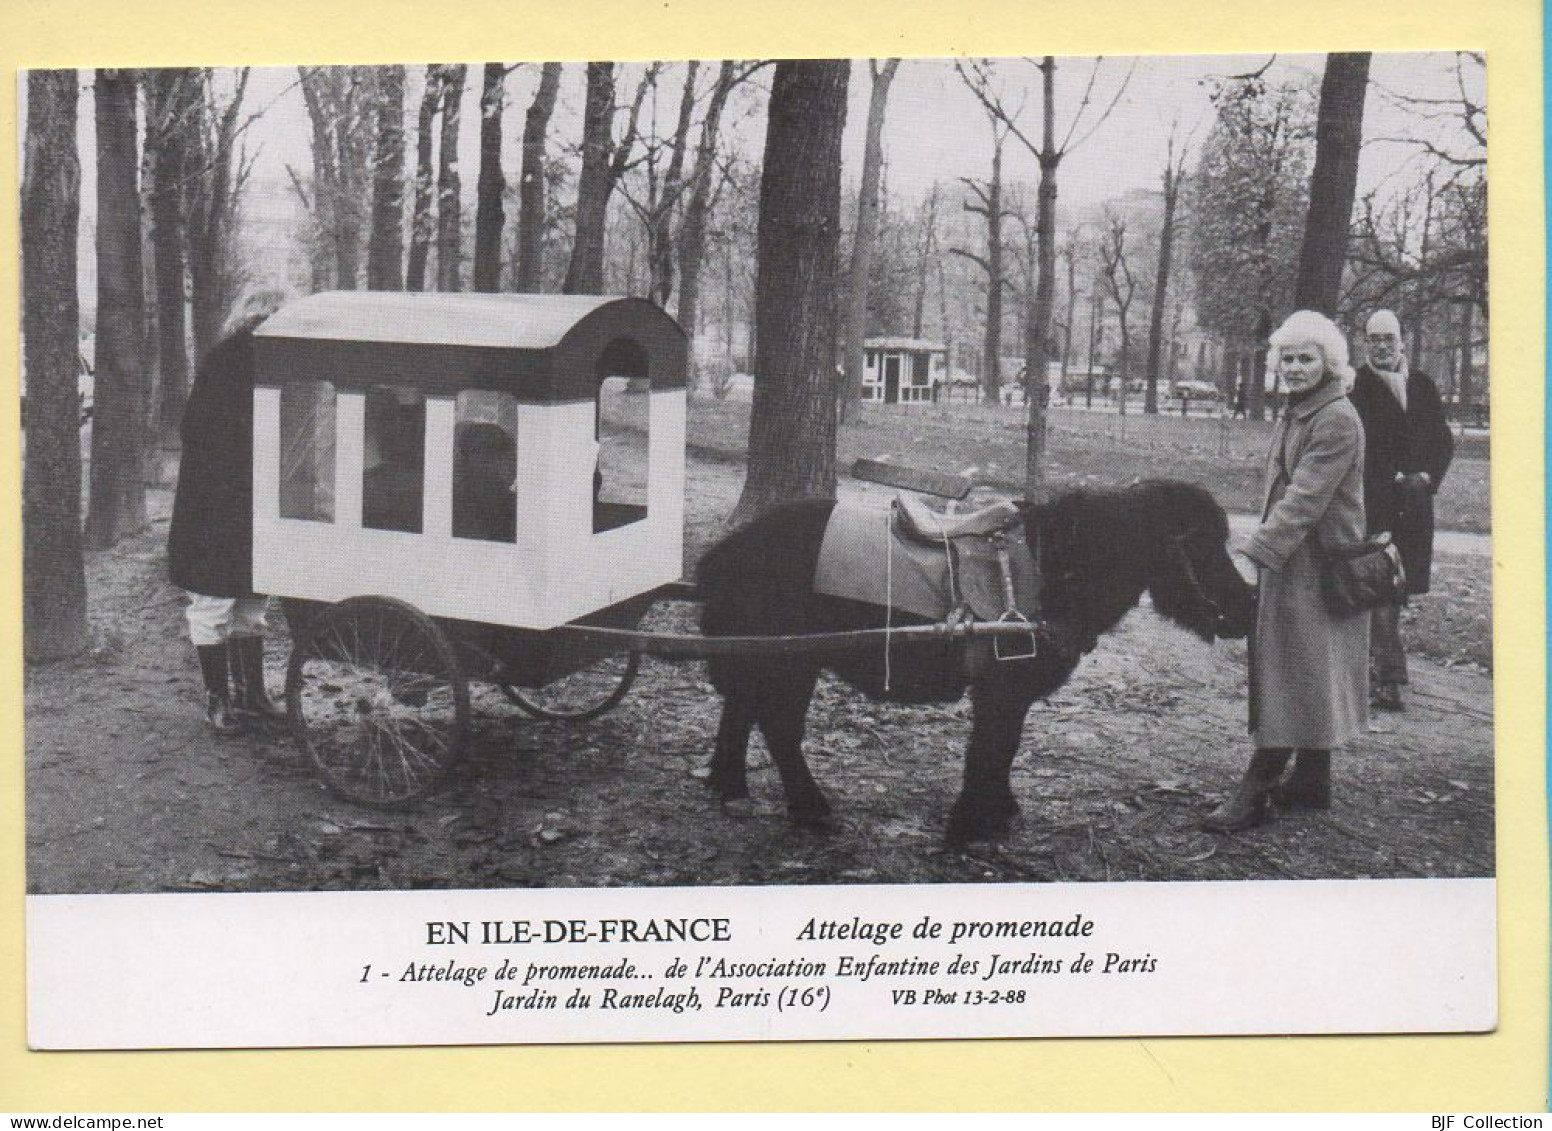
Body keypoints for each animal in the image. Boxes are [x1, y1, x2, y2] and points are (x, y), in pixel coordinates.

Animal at [698, 474, 1254, 837]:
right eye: (1201, 543)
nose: (1247, 608)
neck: (1060, 565)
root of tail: (726, 552)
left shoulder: (1008, 695)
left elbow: (1002, 749)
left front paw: (998, 809)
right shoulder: (1002, 690)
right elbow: (992, 748)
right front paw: (972, 821)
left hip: (768, 659)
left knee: (742, 710)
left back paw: (730, 785)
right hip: (789, 663)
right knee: (777, 725)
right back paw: (809, 806)